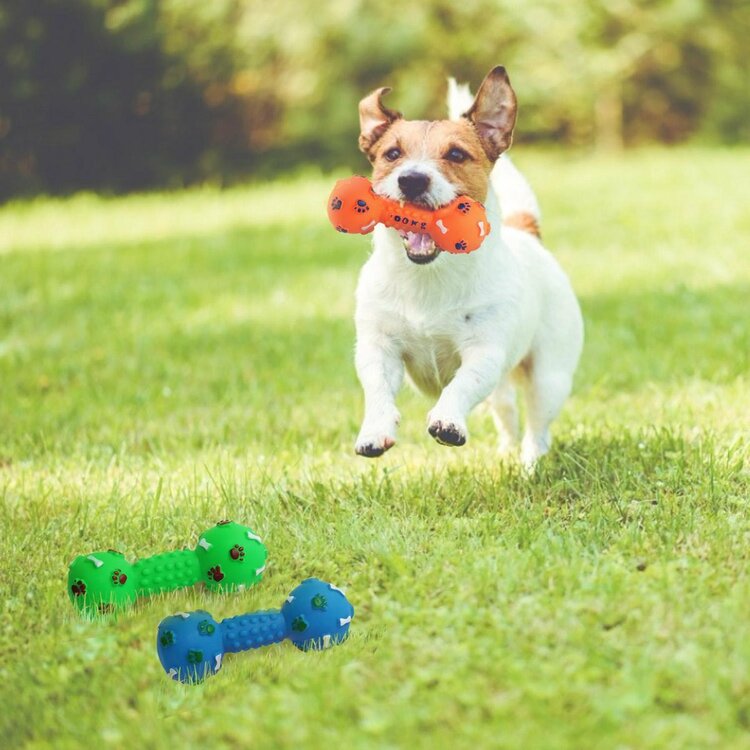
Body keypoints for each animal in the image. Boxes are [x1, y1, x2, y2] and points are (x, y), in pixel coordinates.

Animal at [356, 67, 584, 468]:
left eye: (456, 154)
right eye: (392, 154)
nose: (411, 179)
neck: (428, 277)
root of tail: (526, 232)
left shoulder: (484, 352)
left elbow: (462, 385)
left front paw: (448, 421)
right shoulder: (376, 346)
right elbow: (378, 389)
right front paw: (374, 430)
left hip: (549, 377)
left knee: (537, 428)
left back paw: (529, 465)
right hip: (504, 388)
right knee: (508, 414)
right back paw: (506, 452)